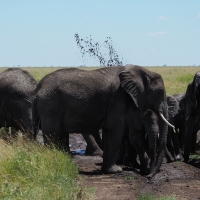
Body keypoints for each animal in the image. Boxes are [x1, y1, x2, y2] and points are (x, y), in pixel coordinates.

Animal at [32, 64, 173, 177]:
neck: (142, 70)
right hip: (51, 105)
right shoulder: (118, 98)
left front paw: (105, 170)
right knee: (53, 136)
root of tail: (38, 87)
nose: (149, 176)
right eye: (159, 92)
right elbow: (116, 129)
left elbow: (109, 132)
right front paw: (115, 171)